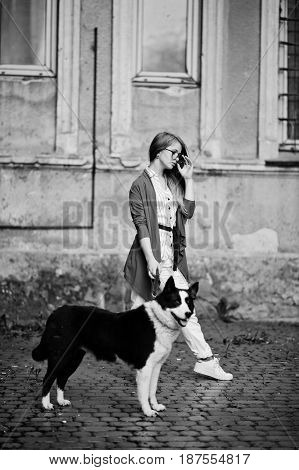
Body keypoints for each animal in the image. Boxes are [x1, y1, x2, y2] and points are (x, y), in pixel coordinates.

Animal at [32, 278, 199, 416]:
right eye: (176, 301)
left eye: (189, 302)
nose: (188, 313)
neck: (158, 320)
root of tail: (55, 313)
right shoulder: (145, 367)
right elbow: (144, 392)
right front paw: (147, 411)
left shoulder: (156, 366)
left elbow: (152, 390)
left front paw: (155, 406)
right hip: (59, 356)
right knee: (48, 378)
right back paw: (46, 405)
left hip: (73, 358)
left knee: (62, 377)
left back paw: (61, 401)